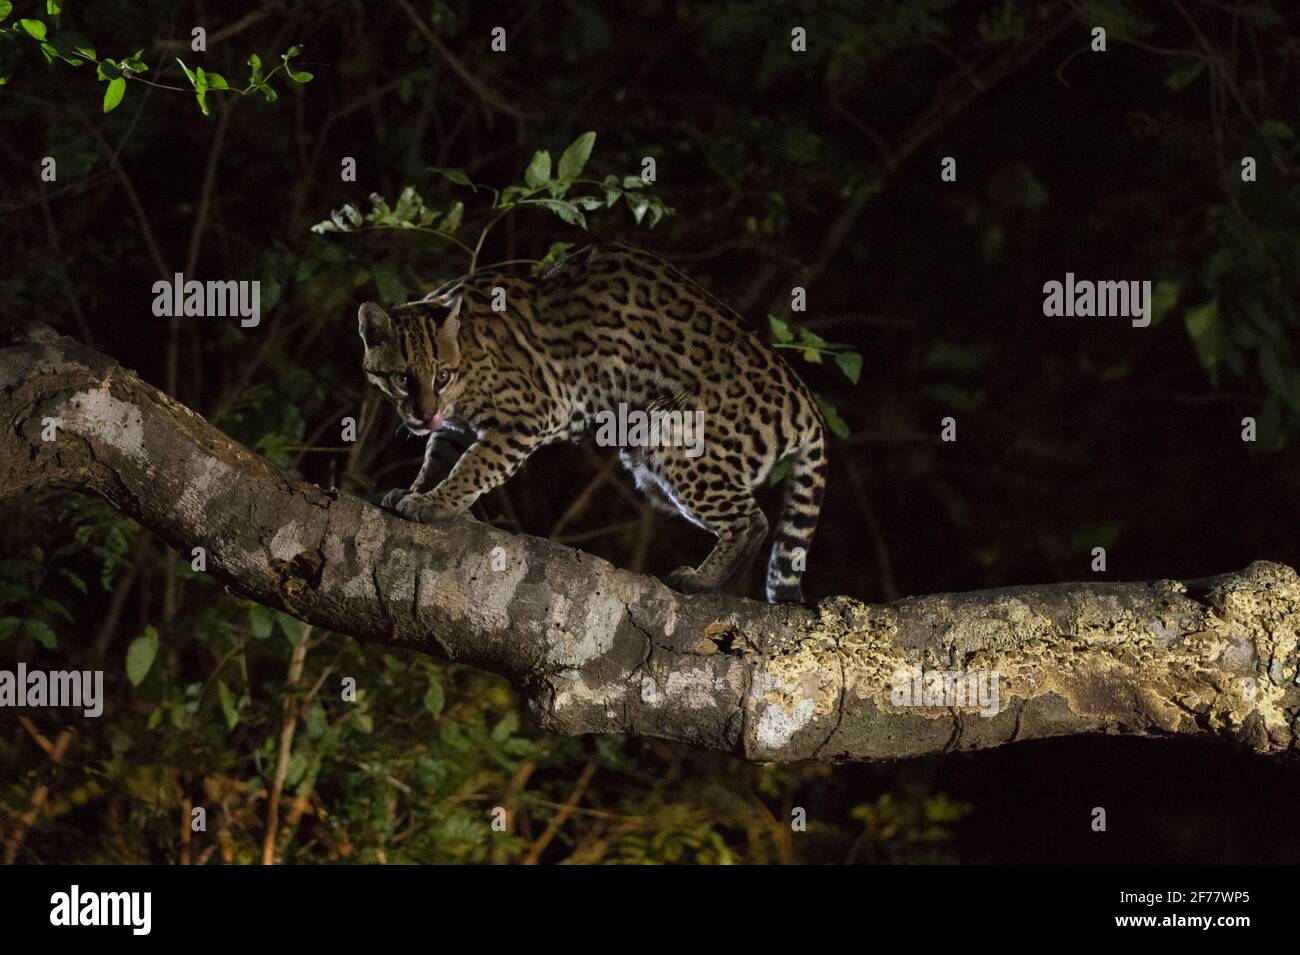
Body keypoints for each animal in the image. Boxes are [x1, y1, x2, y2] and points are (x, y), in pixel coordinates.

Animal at [356, 240, 821, 597]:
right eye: (402, 379)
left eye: (441, 375)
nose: (424, 415)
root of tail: (804, 399)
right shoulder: (452, 427)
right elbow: (438, 458)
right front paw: (418, 490)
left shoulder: (532, 412)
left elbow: (474, 465)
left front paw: (436, 504)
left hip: (677, 442)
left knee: (751, 520)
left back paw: (703, 581)